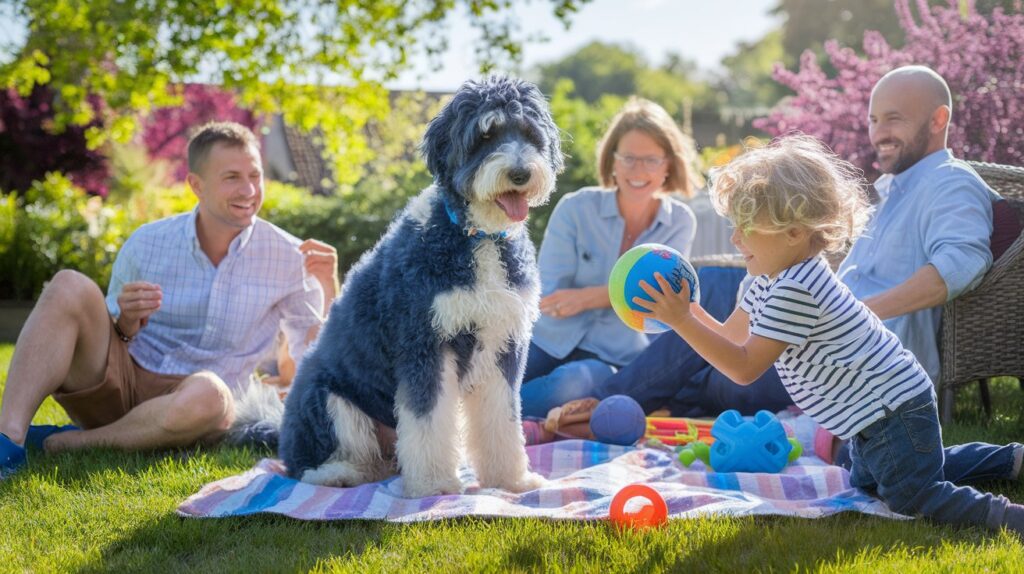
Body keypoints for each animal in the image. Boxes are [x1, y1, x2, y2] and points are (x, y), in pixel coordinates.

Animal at [276, 77, 565, 497]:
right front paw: (433, 485)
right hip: (328, 398)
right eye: (485, 135)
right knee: (303, 463)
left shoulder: (503, 343)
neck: (479, 237)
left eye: (529, 134)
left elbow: (503, 418)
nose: (520, 174)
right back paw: (337, 473)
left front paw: (510, 479)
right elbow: (428, 419)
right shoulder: (425, 342)